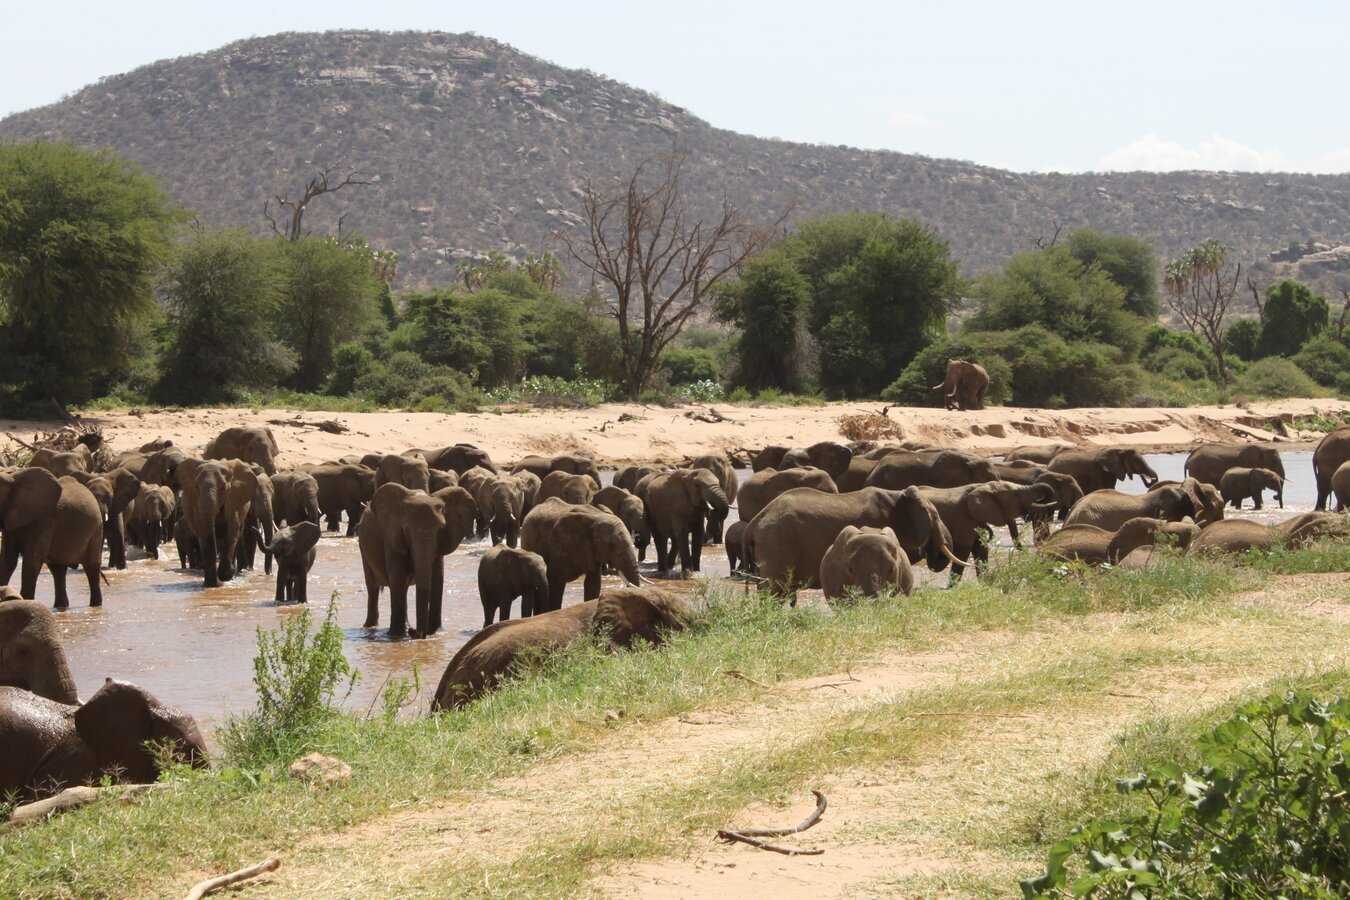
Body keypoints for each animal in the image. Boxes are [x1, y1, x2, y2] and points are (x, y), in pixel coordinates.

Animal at [0, 470, 104, 608]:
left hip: (96, 529)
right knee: (58, 570)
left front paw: (25, 601)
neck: (12, 479)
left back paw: (96, 605)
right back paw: (61, 607)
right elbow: (8, 561)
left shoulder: (46, 520)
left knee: (91, 568)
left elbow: (31, 561)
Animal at [359, 484, 477, 638]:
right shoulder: (392, 538)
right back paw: (371, 627)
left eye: (441, 529)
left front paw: (436, 632)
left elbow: (437, 579)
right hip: (363, 547)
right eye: (406, 530)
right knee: (373, 587)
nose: (415, 632)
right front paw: (397, 636)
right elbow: (397, 578)